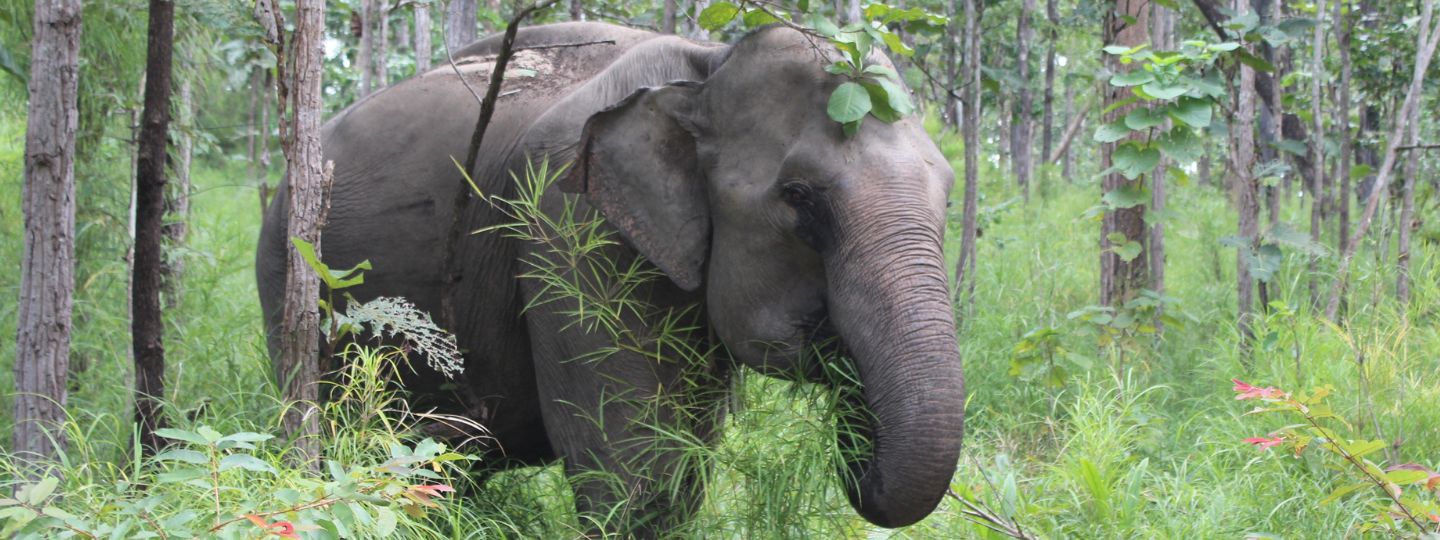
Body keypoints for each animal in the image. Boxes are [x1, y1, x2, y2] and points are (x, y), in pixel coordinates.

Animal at [256, 21, 964, 535]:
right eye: (798, 197)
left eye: (948, 192)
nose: (857, 446)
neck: (707, 66)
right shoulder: (569, 224)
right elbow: (633, 472)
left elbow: (680, 471)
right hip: (292, 274)